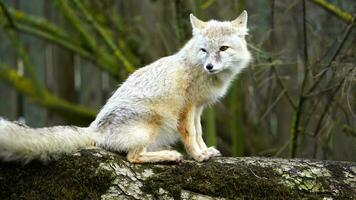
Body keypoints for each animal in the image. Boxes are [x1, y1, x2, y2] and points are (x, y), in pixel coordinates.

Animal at [0, 10, 252, 163]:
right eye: (204, 50)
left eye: (222, 48)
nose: (209, 66)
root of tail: (95, 128)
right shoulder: (186, 109)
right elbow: (190, 134)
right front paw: (198, 156)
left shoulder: (198, 108)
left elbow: (199, 132)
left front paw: (205, 151)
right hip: (150, 126)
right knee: (133, 157)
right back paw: (168, 156)